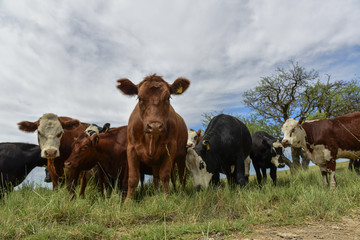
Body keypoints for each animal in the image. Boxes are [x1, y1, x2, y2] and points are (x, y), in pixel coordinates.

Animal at [117, 73, 191, 201]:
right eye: (139, 98)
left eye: (168, 98)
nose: (155, 126)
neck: (150, 140)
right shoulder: (131, 149)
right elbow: (133, 178)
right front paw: (128, 201)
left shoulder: (170, 147)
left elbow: (165, 175)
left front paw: (166, 199)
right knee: (156, 177)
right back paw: (156, 193)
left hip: (181, 154)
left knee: (181, 176)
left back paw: (182, 194)